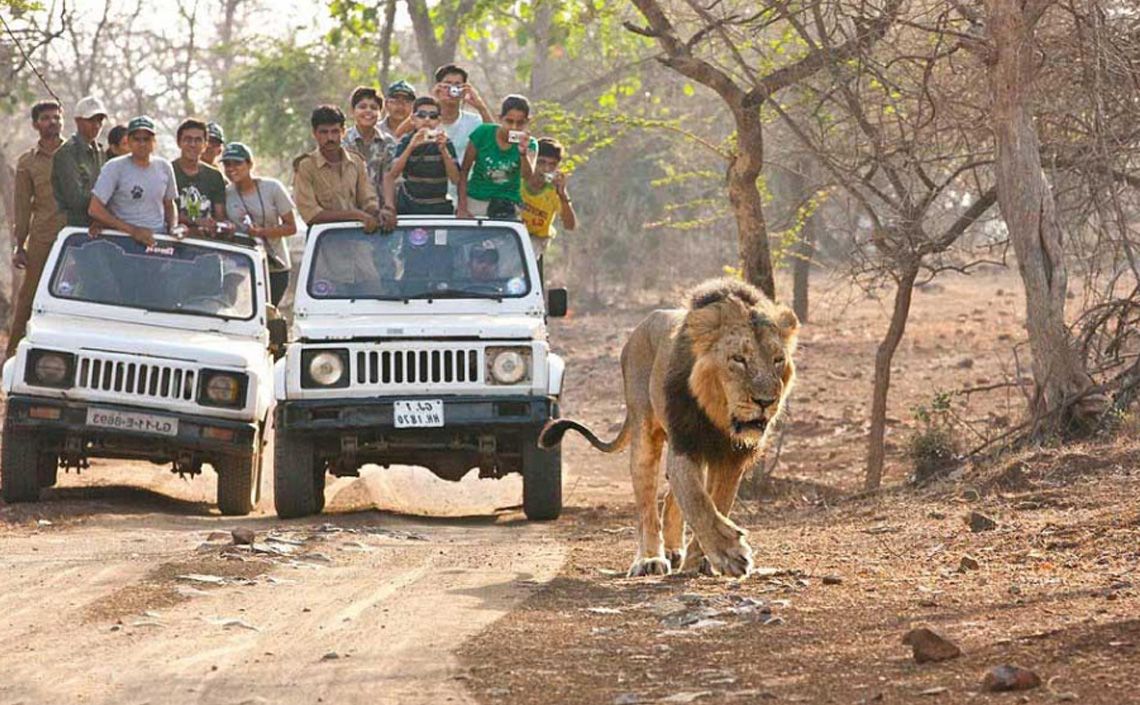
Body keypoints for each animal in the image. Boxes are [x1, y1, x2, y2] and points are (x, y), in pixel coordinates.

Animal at [540, 278, 798, 577]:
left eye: (778, 360)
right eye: (738, 359)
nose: (765, 401)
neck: (718, 415)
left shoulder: (732, 457)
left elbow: (717, 503)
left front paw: (702, 558)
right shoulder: (685, 443)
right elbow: (698, 501)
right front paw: (730, 553)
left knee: (672, 499)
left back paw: (676, 551)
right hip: (644, 433)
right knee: (647, 506)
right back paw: (650, 559)